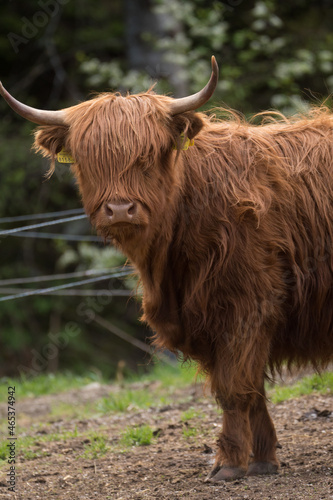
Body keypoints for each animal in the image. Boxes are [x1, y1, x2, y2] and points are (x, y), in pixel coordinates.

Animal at [0, 56, 332, 482]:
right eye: (90, 161)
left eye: (147, 155)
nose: (120, 209)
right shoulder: (207, 317)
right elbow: (250, 388)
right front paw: (261, 460)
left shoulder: (248, 304)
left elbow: (234, 388)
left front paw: (229, 463)